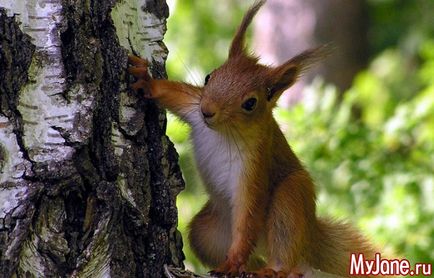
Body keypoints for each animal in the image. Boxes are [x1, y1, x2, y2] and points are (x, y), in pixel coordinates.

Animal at [128, 0, 376, 278]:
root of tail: (310, 237)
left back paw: (272, 270)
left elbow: (248, 215)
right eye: (209, 77)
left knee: (288, 259)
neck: (224, 132)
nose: (208, 111)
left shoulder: (255, 165)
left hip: (291, 200)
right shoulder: (193, 106)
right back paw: (249, 267)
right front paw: (146, 81)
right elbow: (173, 94)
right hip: (207, 232)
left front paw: (233, 262)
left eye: (250, 103)